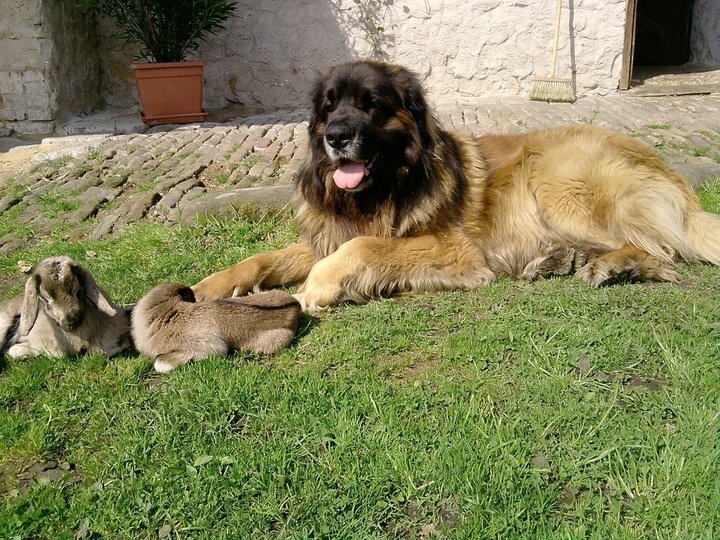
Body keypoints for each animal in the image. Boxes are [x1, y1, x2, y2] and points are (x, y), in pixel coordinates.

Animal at [193, 60, 720, 310]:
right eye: (329, 105)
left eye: (371, 104)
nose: (336, 137)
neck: (382, 188)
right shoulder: (328, 234)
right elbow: (261, 258)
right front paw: (207, 287)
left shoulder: (454, 248)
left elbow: (362, 247)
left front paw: (319, 284)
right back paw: (553, 261)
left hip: (558, 185)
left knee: (660, 250)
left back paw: (613, 266)